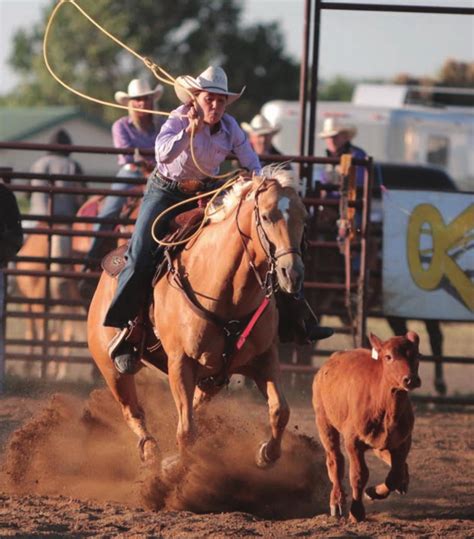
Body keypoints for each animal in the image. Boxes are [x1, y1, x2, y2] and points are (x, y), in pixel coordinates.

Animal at [88, 168, 308, 472]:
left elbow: (280, 411)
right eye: (266, 216)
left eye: (303, 218)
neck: (228, 292)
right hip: (110, 367)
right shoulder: (181, 363)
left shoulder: (264, 358)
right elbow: (185, 431)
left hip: (214, 376)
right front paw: (175, 471)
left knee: (197, 406)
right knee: (133, 411)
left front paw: (266, 453)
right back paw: (151, 452)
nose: (292, 274)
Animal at [312, 332, 420, 520]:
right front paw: (356, 512)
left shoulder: (403, 441)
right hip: (324, 422)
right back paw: (337, 502)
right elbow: (359, 475)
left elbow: (395, 475)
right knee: (335, 460)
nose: (410, 379)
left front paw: (373, 491)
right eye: (388, 356)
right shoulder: (353, 442)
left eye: (416, 355)